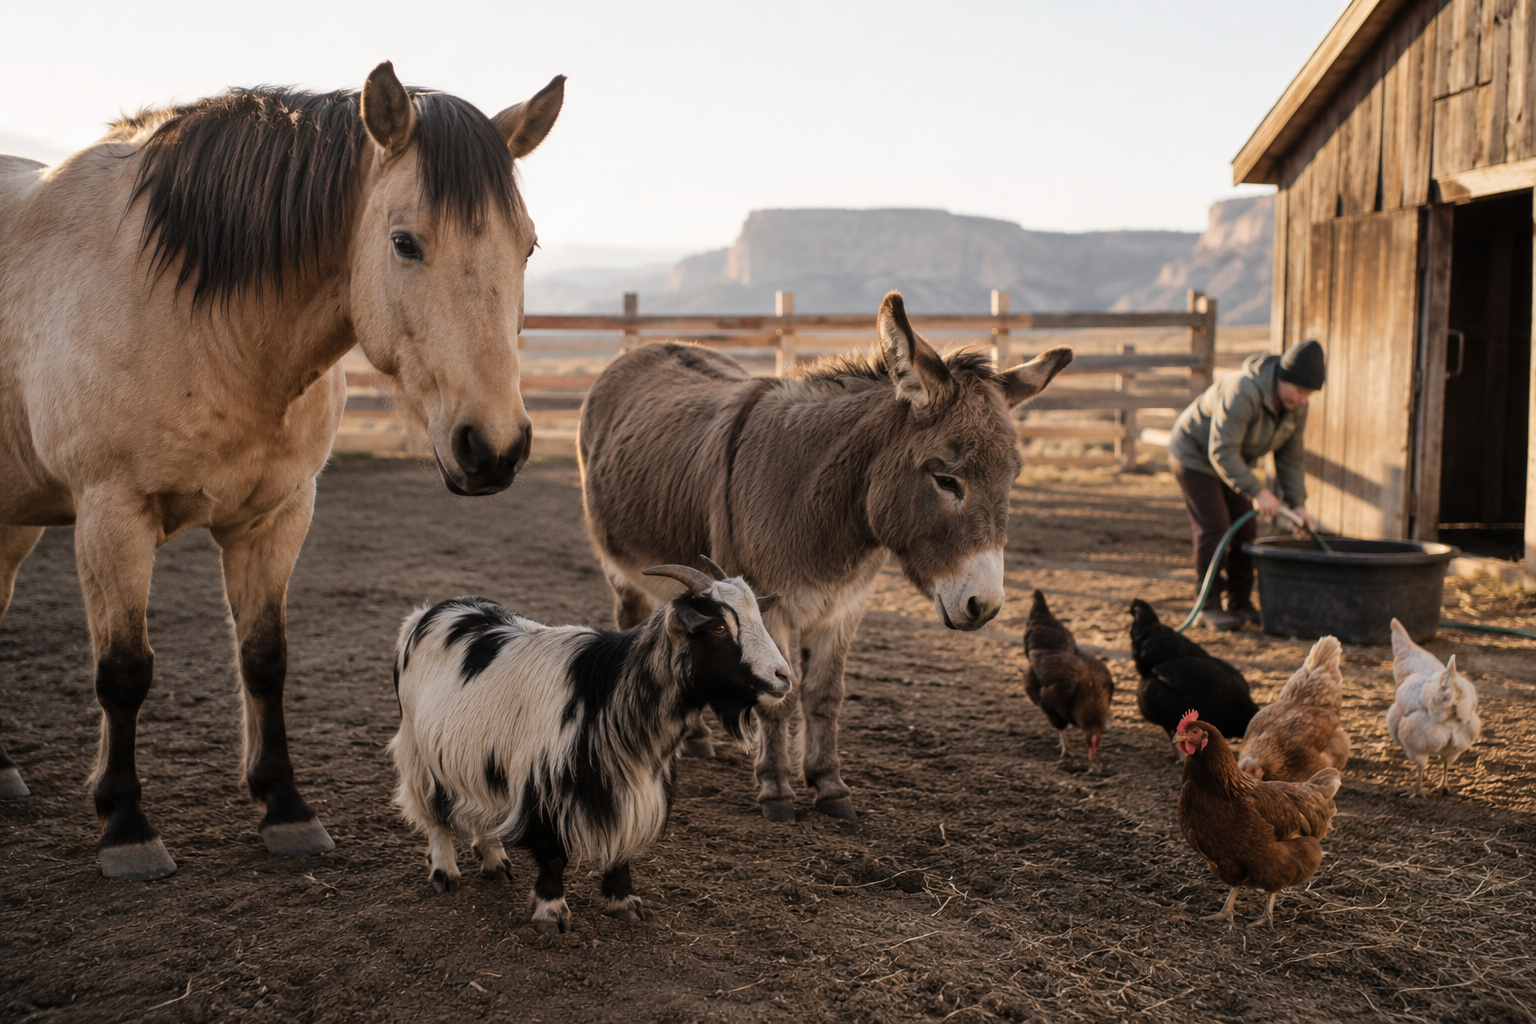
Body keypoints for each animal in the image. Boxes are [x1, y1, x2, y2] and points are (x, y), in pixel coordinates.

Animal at [0, 61, 564, 880]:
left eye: (527, 247)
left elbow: (265, 659)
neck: (196, 321)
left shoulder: (276, 515)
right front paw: (127, 824)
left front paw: (285, 808)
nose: (493, 447)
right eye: (405, 243)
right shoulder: (112, 516)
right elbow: (124, 671)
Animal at [389, 559, 791, 933]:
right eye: (720, 627)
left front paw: (624, 901)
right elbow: (552, 854)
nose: (783, 677)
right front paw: (551, 912)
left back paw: (494, 861)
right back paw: (445, 872)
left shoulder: (633, 786)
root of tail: (427, 613)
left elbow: (623, 841)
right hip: (419, 748)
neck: (607, 693)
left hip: (473, 755)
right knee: (434, 811)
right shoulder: (542, 784)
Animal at [578, 292, 1071, 821]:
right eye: (945, 479)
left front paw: (829, 785)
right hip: (621, 567)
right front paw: (776, 789)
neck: (820, 513)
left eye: (1013, 478)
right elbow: (776, 698)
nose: (986, 606)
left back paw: (695, 738)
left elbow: (824, 695)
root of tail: (648, 347)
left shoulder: (844, 606)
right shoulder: (760, 605)